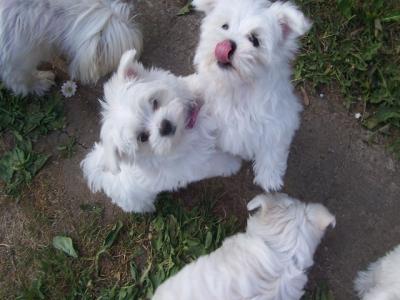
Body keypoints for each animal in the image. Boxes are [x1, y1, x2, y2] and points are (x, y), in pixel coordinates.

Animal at [81, 50, 241, 212]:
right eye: (143, 137)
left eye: (155, 102)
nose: (165, 126)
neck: (185, 129)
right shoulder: (195, 164)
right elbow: (214, 163)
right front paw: (233, 163)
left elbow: (193, 83)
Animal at [188, 0, 312, 192]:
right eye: (225, 26)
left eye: (254, 40)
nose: (225, 44)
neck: (237, 88)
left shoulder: (277, 123)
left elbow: (272, 150)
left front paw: (270, 179)